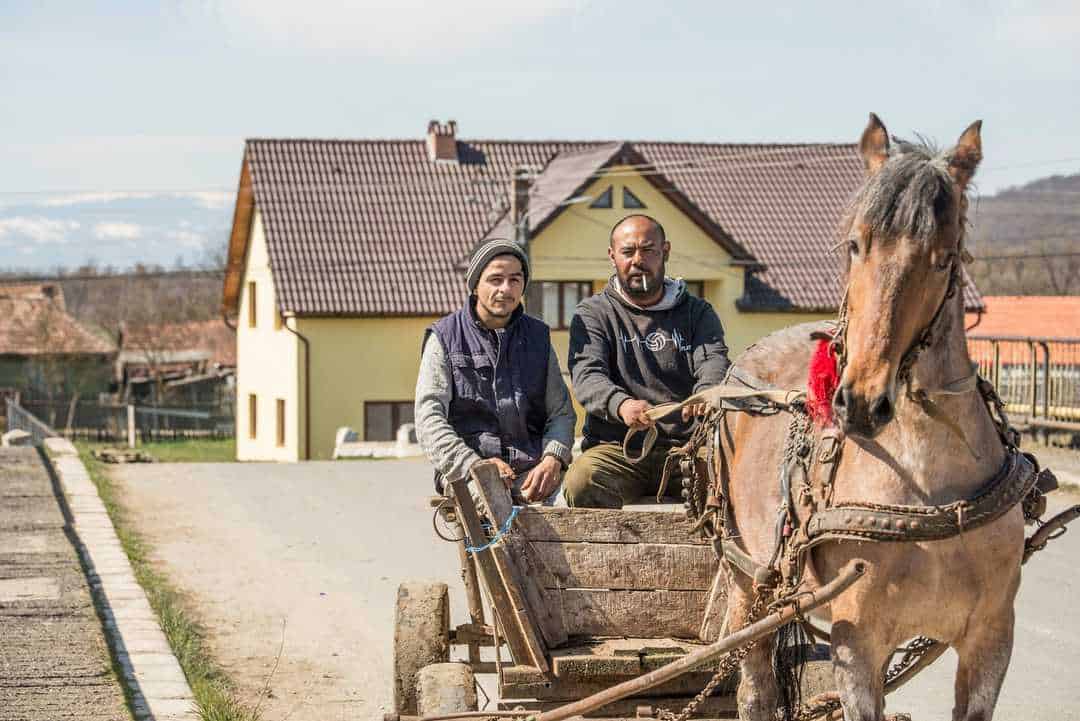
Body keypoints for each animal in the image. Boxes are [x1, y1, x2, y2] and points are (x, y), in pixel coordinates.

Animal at [712, 113, 1023, 721]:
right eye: (856, 245)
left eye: (944, 258)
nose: (859, 400)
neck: (929, 487)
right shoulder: (858, 643)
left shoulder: (992, 639)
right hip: (749, 579)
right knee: (754, 685)